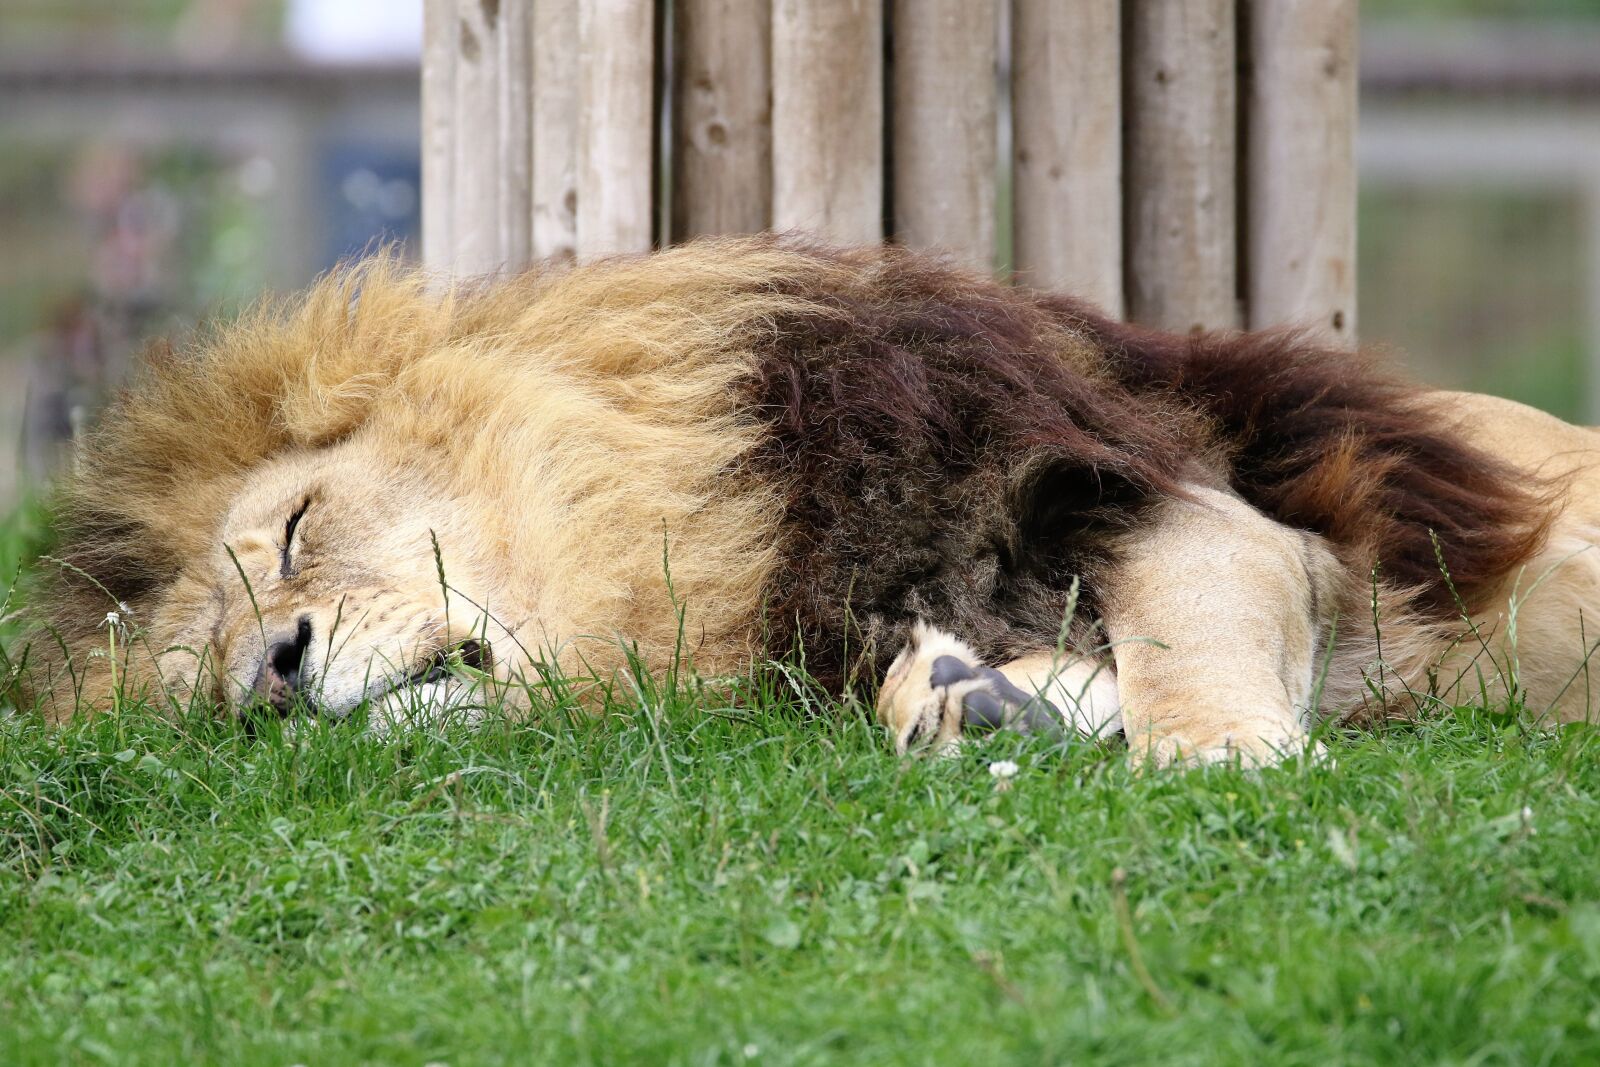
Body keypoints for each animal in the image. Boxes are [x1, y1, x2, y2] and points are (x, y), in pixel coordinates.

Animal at [16, 236, 1600, 765]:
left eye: (293, 530)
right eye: (208, 689)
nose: (272, 676)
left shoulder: (1190, 503)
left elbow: (1188, 657)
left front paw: (1218, 757)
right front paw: (984, 702)